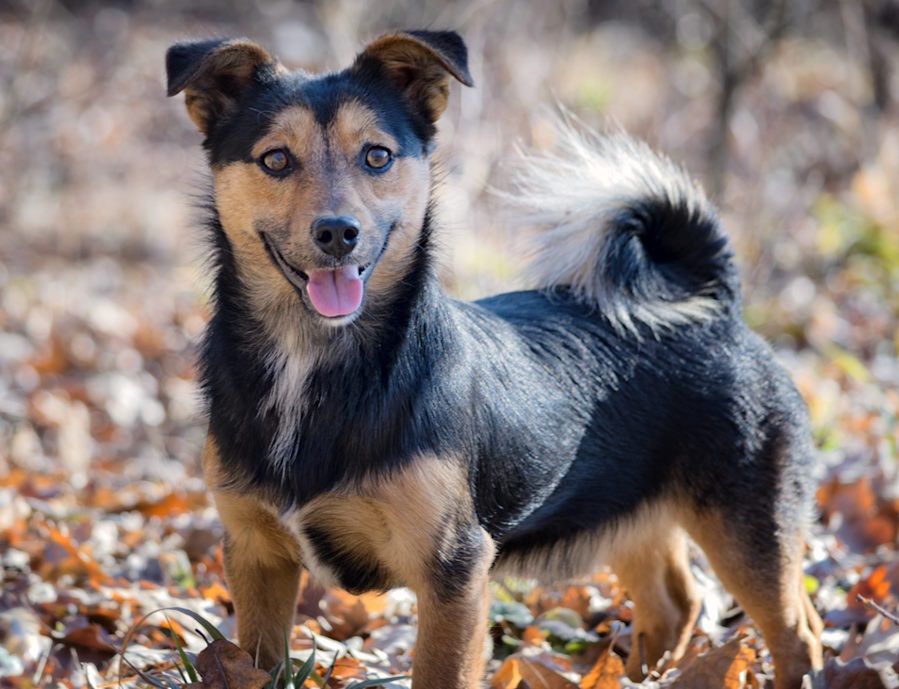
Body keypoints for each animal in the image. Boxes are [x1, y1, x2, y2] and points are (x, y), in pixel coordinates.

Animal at [167, 29, 824, 688]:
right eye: (276, 159)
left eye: (376, 157)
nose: (337, 232)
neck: (316, 364)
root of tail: (715, 306)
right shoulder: (255, 552)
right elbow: (257, 663)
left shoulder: (452, 567)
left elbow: (441, 673)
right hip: (627, 510)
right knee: (675, 606)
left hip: (749, 524)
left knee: (797, 633)